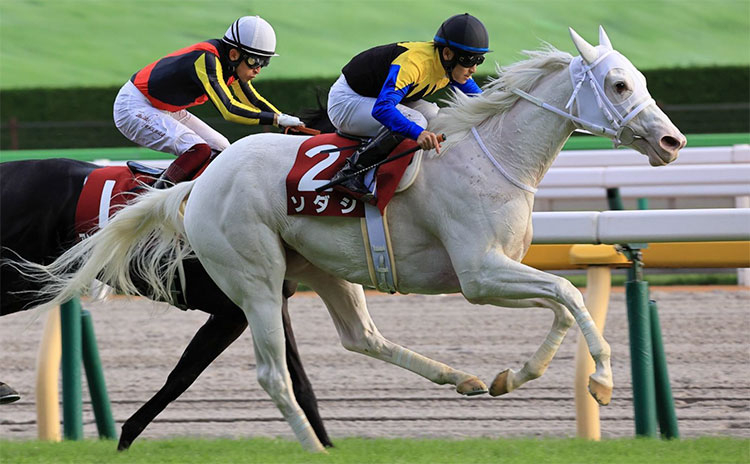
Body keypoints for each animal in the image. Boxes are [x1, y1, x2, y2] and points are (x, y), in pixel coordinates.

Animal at [0, 159, 332, 450]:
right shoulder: (237, 310)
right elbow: (184, 375)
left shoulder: (266, 302)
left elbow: (297, 381)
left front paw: (324, 443)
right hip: (25, 276)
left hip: (39, 280)